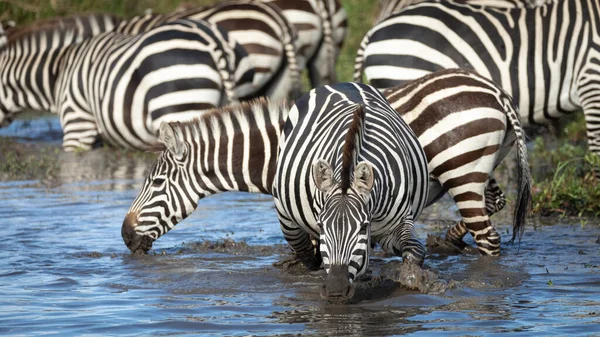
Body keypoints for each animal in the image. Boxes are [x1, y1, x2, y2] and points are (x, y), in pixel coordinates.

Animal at [274, 82, 428, 300]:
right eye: (321, 226)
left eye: (363, 227)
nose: (335, 291)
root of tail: (340, 83)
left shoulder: (398, 222)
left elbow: (415, 249)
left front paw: (412, 280)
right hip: (286, 217)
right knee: (306, 253)